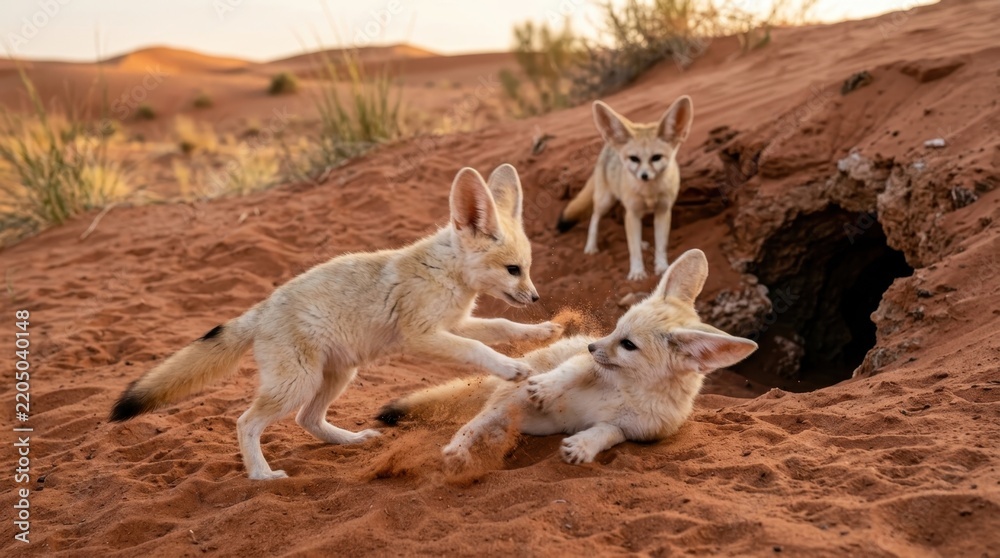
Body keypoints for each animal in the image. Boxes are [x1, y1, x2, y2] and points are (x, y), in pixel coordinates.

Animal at [109, 163, 564, 480]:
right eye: (512, 270)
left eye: (526, 269)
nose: (535, 297)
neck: (446, 270)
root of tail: (262, 309)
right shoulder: (424, 334)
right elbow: (479, 348)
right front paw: (512, 368)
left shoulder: (455, 323)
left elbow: (501, 328)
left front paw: (543, 331)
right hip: (298, 383)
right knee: (246, 422)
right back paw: (260, 475)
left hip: (336, 375)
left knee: (306, 420)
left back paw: (351, 440)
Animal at [377, 249, 757, 469]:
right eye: (616, 328)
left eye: (628, 345)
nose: (591, 345)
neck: (630, 388)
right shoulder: (588, 366)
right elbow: (571, 370)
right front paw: (546, 387)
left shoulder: (636, 431)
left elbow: (607, 431)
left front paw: (583, 446)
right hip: (507, 400)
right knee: (470, 425)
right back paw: (460, 450)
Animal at [556, 96, 694, 281]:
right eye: (634, 159)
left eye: (656, 158)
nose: (644, 176)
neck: (649, 193)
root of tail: (608, 145)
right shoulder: (633, 212)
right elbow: (632, 248)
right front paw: (636, 272)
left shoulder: (662, 212)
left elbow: (660, 245)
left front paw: (662, 267)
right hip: (605, 201)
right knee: (595, 217)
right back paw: (591, 246)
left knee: (625, 219)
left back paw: (641, 242)